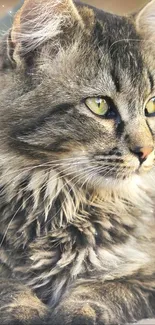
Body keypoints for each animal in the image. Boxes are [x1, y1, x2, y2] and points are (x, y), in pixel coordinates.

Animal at [0, 0, 155, 322]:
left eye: (151, 106)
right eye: (99, 105)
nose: (146, 152)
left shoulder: (146, 273)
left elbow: (106, 288)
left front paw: (80, 311)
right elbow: (9, 287)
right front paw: (25, 311)